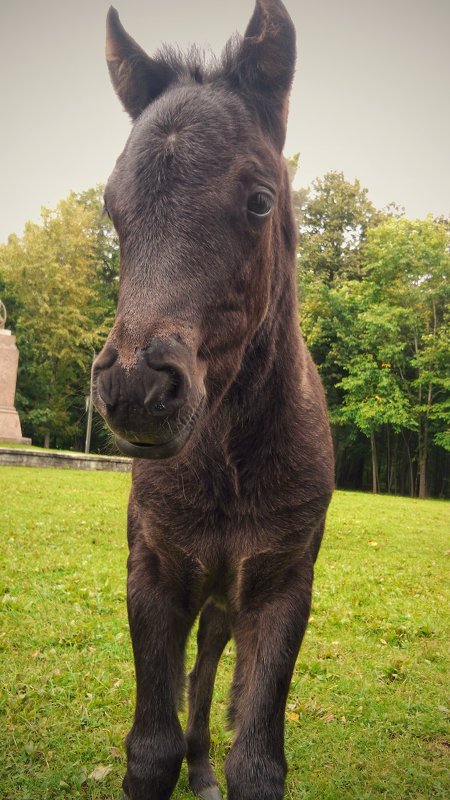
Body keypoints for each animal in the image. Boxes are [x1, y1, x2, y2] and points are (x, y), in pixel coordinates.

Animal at [92, 1, 334, 800]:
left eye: (259, 200)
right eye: (113, 208)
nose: (136, 387)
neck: (226, 466)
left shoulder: (281, 586)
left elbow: (256, 760)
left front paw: (215, 764)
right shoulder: (155, 571)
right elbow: (150, 748)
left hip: (227, 601)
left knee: (205, 671)